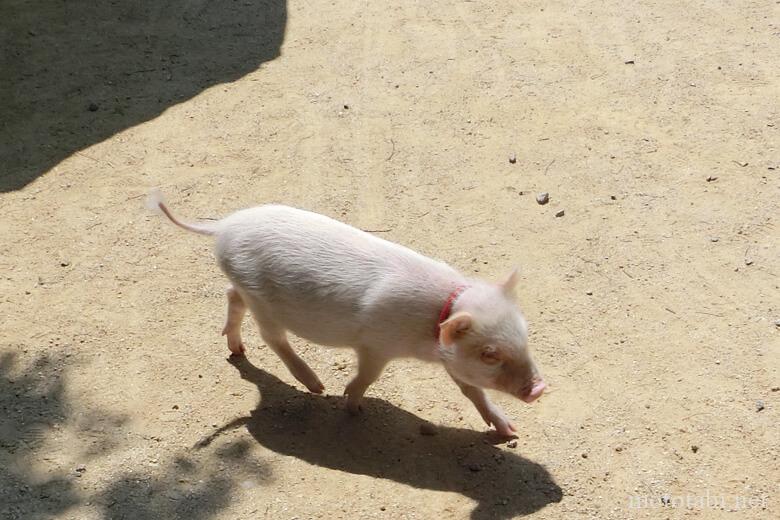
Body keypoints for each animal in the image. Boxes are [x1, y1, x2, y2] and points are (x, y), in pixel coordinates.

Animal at [148, 189, 548, 436]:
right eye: (490, 354)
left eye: (525, 335)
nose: (540, 388)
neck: (436, 320)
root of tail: (222, 226)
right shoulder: (375, 345)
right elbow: (368, 377)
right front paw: (353, 409)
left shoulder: (450, 358)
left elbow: (472, 391)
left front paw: (510, 433)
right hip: (263, 302)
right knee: (271, 337)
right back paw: (316, 386)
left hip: (244, 288)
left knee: (232, 297)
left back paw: (237, 350)